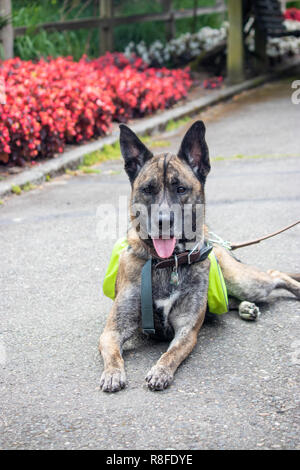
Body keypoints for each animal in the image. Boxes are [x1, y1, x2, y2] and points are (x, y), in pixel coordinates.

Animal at [99, 121, 300, 392]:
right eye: (148, 189)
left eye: (181, 189)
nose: (163, 222)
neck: (168, 262)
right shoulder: (113, 330)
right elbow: (112, 351)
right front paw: (112, 373)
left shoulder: (187, 330)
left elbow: (171, 353)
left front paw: (161, 370)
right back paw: (246, 307)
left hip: (248, 283)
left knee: (274, 274)